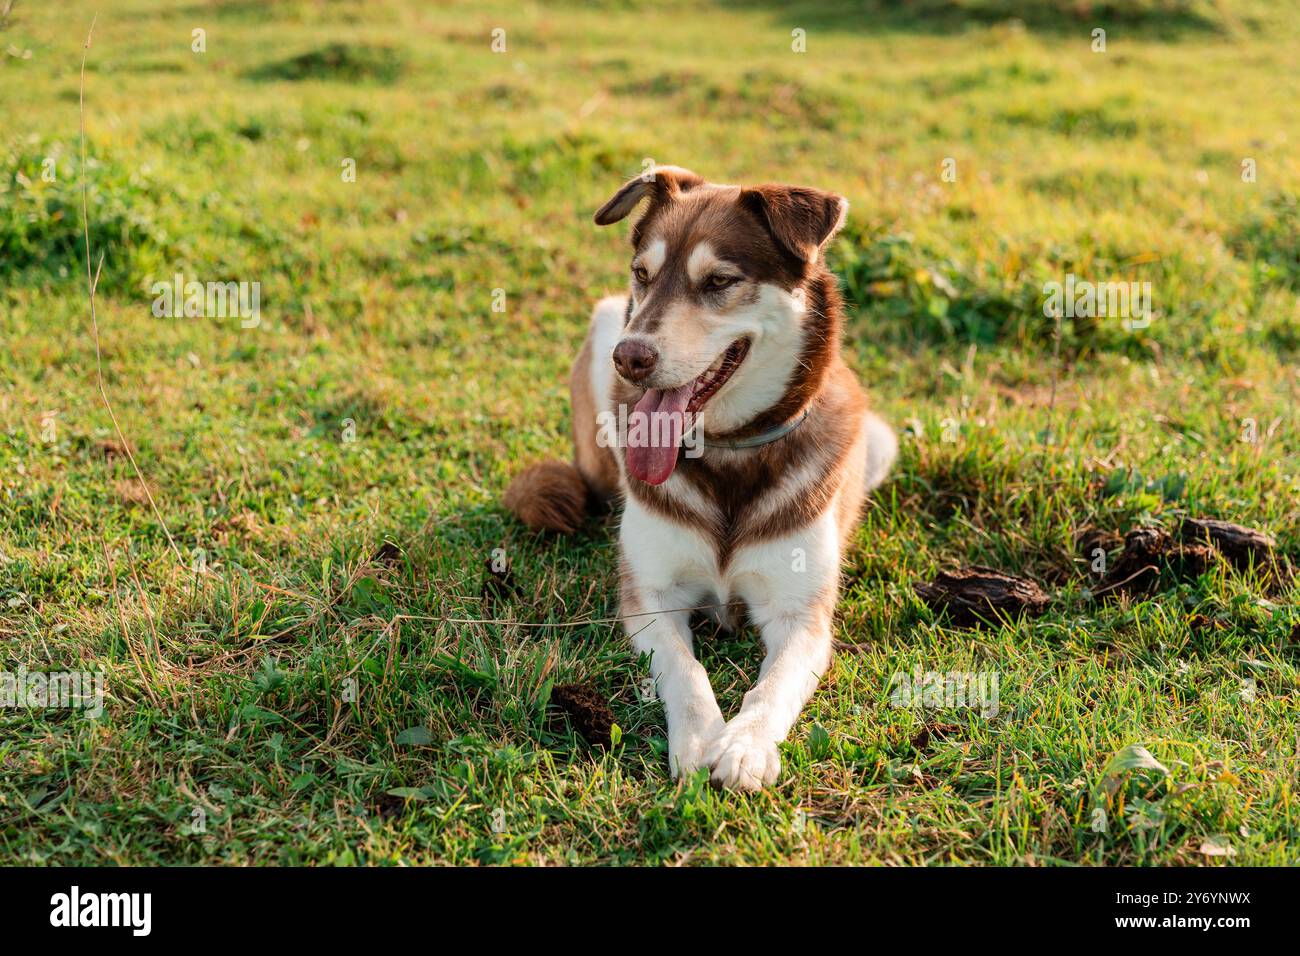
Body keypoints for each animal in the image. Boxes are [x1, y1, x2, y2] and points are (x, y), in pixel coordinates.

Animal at [504, 166, 894, 790]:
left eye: (719, 281)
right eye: (642, 274)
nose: (629, 357)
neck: (728, 452)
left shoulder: (800, 616)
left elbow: (775, 685)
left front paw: (746, 746)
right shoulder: (650, 597)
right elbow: (685, 670)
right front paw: (700, 738)